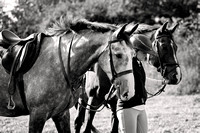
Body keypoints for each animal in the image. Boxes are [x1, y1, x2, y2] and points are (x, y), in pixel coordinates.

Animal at [0, 18, 139, 132]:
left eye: (133, 54)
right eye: (118, 55)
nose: (130, 92)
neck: (57, 64)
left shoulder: (61, 114)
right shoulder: (37, 115)